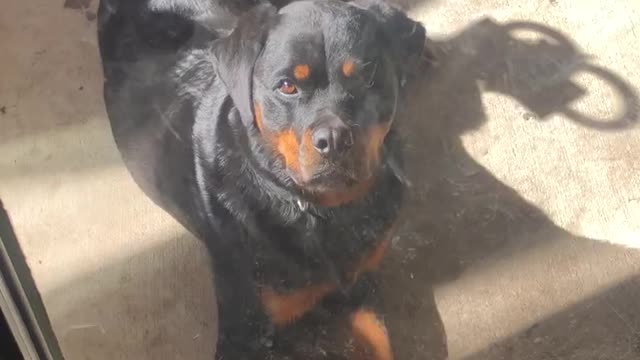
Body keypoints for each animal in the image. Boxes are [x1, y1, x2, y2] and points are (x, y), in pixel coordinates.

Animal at [99, 0, 424, 358]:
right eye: (287, 85)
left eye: (368, 78)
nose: (334, 139)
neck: (320, 210)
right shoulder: (244, 329)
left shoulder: (361, 284)